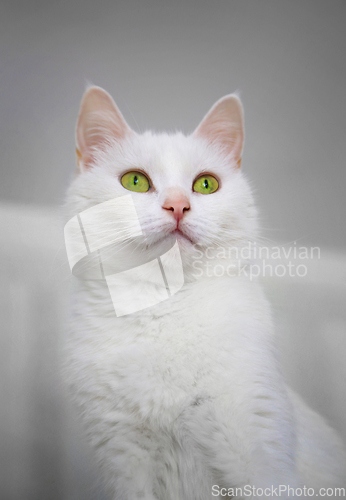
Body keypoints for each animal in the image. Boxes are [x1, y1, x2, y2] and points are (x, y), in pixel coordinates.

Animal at [65, 88, 346, 498]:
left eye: (206, 184)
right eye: (134, 181)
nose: (178, 205)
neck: (167, 307)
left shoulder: (257, 443)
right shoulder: (124, 455)